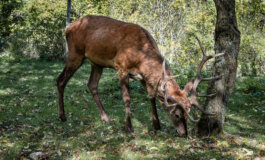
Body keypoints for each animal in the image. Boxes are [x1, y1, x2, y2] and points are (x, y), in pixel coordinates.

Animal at [56, 15, 223, 136]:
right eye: (176, 114)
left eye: (188, 112)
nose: (184, 133)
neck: (140, 56)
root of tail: (67, 28)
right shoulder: (121, 67)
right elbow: (127, 98)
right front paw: (129, 127)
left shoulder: (143, 77)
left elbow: (151, 96)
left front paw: (156, 125)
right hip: (75, 53)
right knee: (60, 80)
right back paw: (62, 116)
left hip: (96, 63)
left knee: (91, 85)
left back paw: (106, 118)